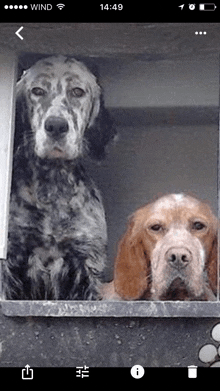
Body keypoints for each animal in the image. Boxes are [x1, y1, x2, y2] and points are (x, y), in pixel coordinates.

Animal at [3, 55, 115, 300]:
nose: (55, 125)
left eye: (77, 91)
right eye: (37, 91)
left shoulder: (86, 262)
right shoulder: (11, 257)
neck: (52, 187)